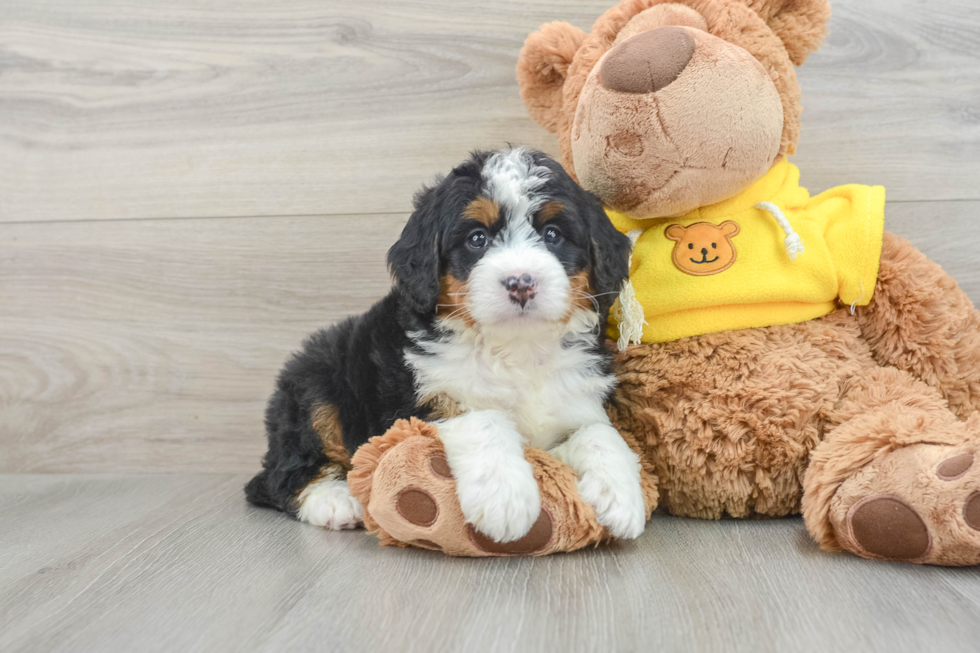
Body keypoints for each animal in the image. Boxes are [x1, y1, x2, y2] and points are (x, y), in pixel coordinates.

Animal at [244, 146, 648, 540]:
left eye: (552, 234)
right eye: (477, 239)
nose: (520, 283)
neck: (515, 346)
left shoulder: (575, 399)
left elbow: (599, 432)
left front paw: (621, 496)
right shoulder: (425, 399)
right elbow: (485, 420)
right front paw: (505, 499)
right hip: (316, 381)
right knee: (282, 475)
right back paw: (335, 501)